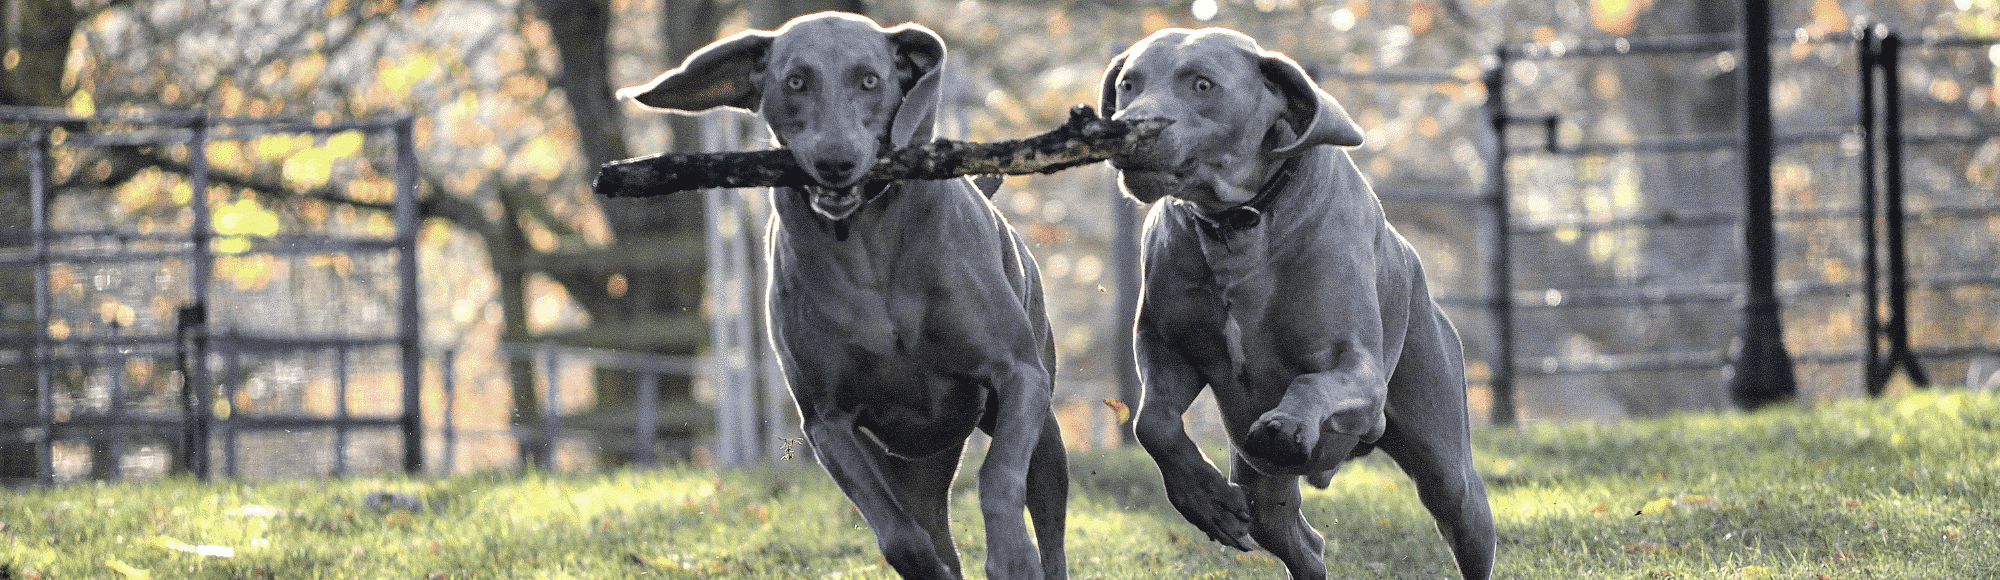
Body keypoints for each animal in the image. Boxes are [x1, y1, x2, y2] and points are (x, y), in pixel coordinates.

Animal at [624, 11, 1072, 576]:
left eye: (870, 80)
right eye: (796, 81)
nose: (834, 161)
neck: (865, 245)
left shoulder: (1017, 377)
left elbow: (998, 477)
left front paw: (1012, 555)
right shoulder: (827, 423)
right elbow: (899, 536)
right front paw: (929, 563)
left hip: (1043, 429)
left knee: (1048, 512)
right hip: (910, 464)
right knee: (929, 522)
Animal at [1104, 28, 1496, 580]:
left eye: (1202, 84)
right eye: (1128, 84)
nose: (1125, 129)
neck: (1238, 224)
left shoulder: (1360, 373)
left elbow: (1314, 381)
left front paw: (1287, 422)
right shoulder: (1166, 346)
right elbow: (1153, 422)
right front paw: (1205, 499)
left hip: (1448, 467)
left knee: (1457, 502)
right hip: (1262, 491)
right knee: (1302, 542)